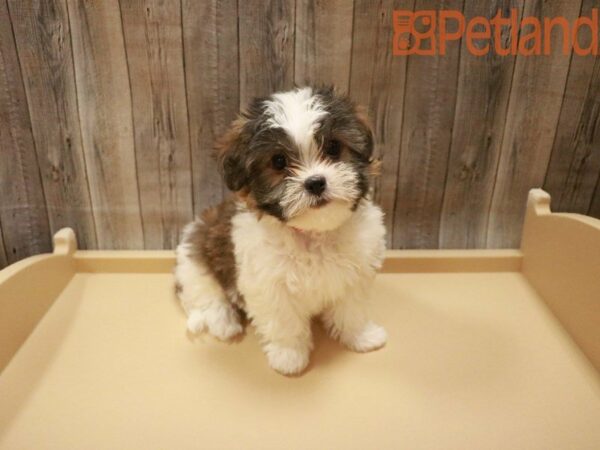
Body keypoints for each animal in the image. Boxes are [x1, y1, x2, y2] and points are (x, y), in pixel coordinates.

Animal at [176, 86, 386, 374]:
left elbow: (352, 309)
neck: (313, 233)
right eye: (278, 161)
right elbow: (284, 321)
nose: (315, 182)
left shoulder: (357, 272)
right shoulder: (268, 285)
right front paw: (289, 356)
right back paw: (224, 322)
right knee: (204, 295)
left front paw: (362, 337)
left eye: (333, 147)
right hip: (194, 261)